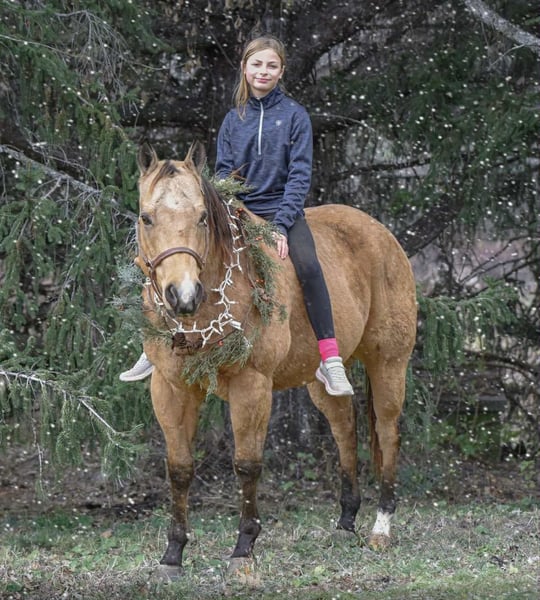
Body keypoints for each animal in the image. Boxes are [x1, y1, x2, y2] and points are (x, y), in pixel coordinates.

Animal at [132, 142, 417, 579]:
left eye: (202, 217)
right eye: (147, 218)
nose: (183, 295)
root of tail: (381, 234)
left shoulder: (252, 386)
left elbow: (247, 464)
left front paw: (243, 548)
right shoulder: (170, 388)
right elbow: (179, 469)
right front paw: (172, 554)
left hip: (389, 364)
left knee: (387, 433)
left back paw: (381, 528)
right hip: (320, 381)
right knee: (345, 430)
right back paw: (345, 522)